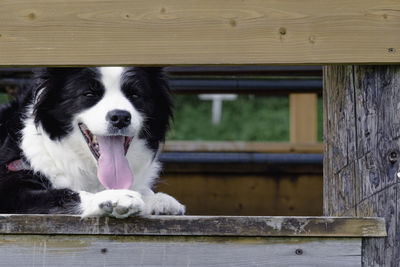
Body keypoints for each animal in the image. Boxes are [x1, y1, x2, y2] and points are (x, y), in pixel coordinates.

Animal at [0, 66, 185, 218]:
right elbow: (65, 193)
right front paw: (116, 197)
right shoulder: (10, 190)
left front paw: (156, 199)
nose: (120, 118)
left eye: (135, 95)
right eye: (89, 94)